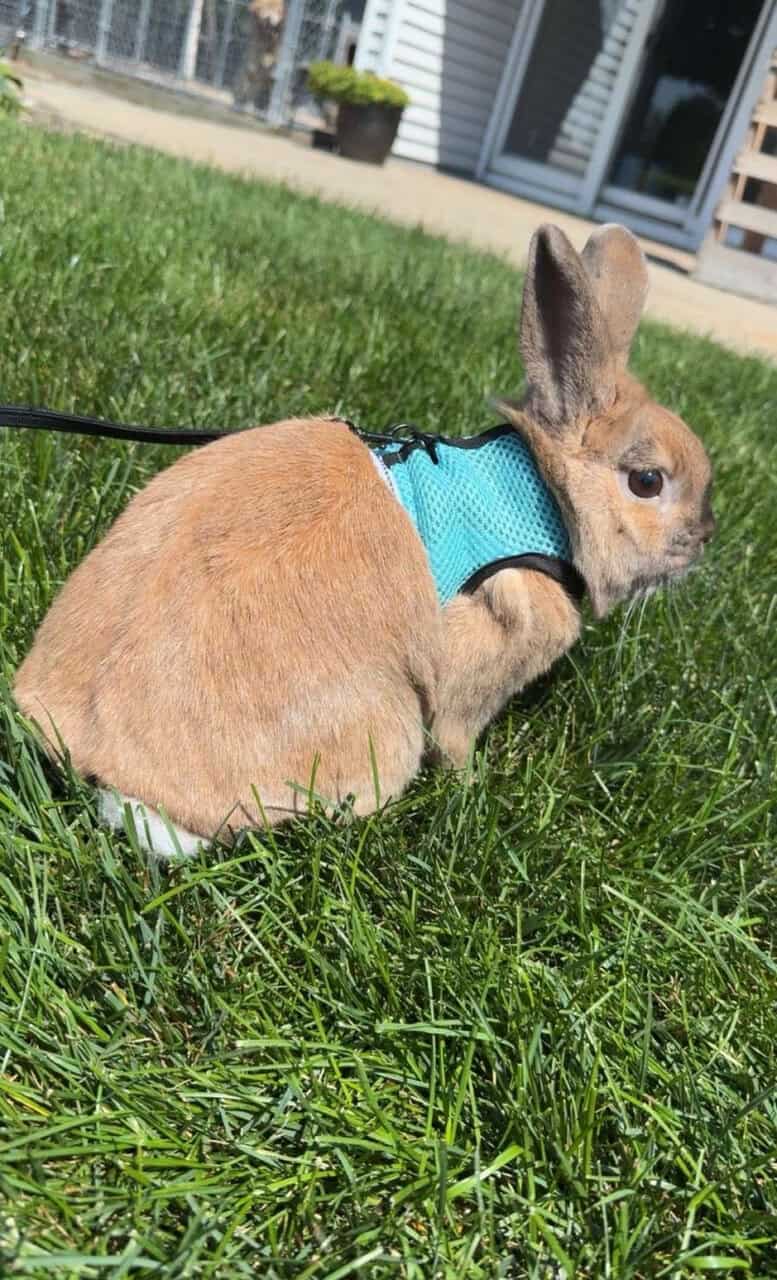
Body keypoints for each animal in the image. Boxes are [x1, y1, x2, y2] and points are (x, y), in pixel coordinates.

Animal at [13, 222, 715, 856]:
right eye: (647, 481)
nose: (705, 537)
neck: (544, 497)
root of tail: (87, 750)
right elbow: (456, 734)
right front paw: (473, 784)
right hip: (387, 731)